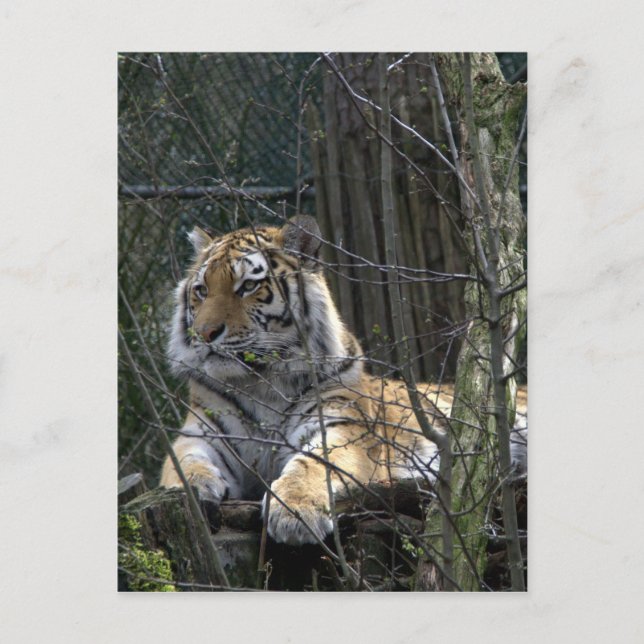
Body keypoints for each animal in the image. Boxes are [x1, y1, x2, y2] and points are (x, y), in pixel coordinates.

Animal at [161, 215, 448, 545]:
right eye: (201, 290)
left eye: (248, 286)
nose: (204, 334)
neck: (261, 380)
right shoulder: (201, 434)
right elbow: (184, 461)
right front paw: (191, 487)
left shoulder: (340, 426)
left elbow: (314, 463)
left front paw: (296, 512)